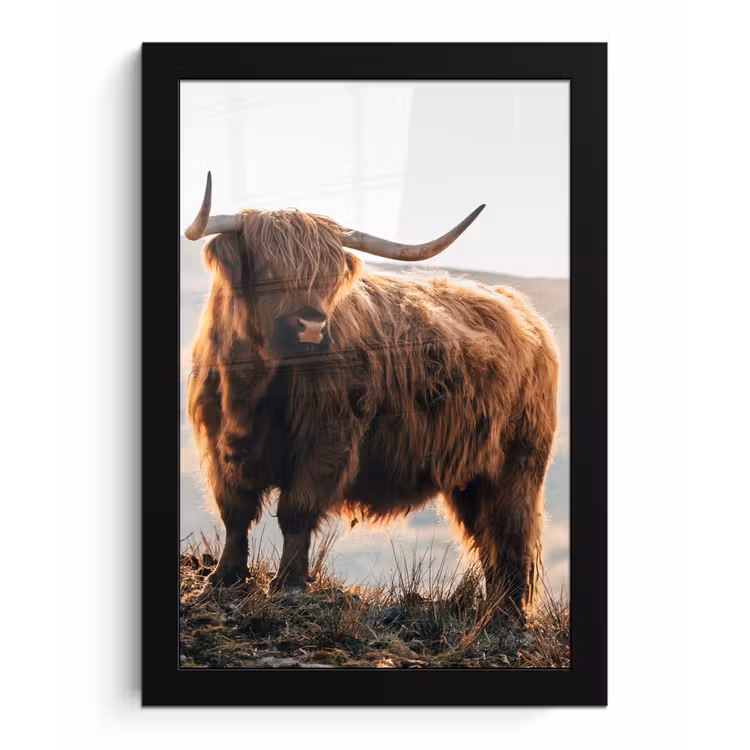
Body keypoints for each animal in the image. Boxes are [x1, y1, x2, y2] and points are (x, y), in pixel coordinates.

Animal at [185, 172, 558, 616]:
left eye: (329, 275)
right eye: (269, 266)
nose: (312, 325)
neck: (254, 386)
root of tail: (521, 311)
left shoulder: (327, 443)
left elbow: (296, 511)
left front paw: (289, 584)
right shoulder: (221, 444)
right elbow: (235, 512)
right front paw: (224, 578)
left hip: (518, 464)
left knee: (510, 533)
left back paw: (507, 613)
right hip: (471, 477)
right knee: (487, 537)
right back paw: (493, 608)